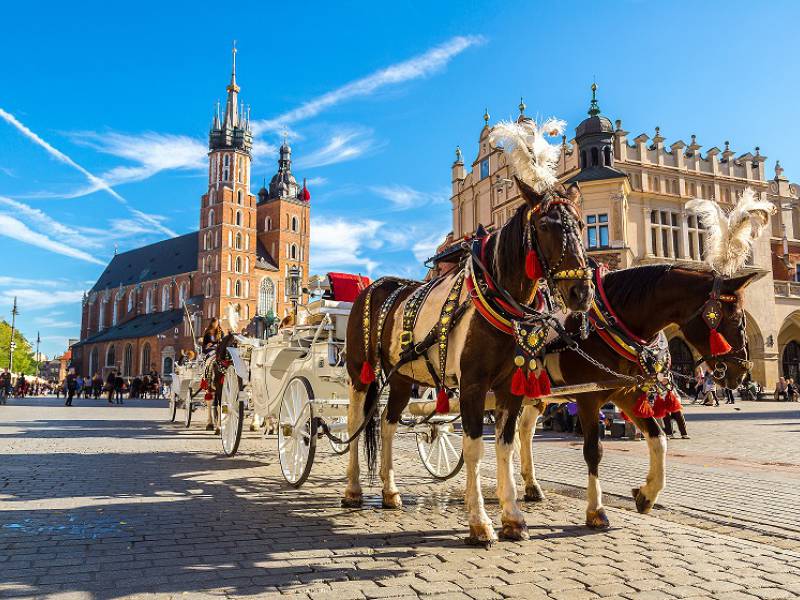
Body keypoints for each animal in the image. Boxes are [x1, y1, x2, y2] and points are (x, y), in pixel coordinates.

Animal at [344, 177, 592, 544]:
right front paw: (480, 522)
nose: (581, 292)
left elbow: (506, 446)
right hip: (360, 372)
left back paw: (390, 492)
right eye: (545, 225)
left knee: (388, 424)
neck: (497, 299)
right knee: (355, 424)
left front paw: (513, 517)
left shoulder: (510, 389)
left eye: (581, 225)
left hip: (401, 377)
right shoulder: (473, 386)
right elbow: (475, 448)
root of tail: (375, 286)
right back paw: (352, 490)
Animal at [520, 264, 756, 528]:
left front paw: (646, 494)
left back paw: (531, 486)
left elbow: (658, 438)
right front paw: (596, 509)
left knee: (524, 431)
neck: (607, 327)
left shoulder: (627, 393)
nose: (742, 372)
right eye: (736, 319)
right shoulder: (588, 398)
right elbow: (593, 451)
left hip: (535, 396)